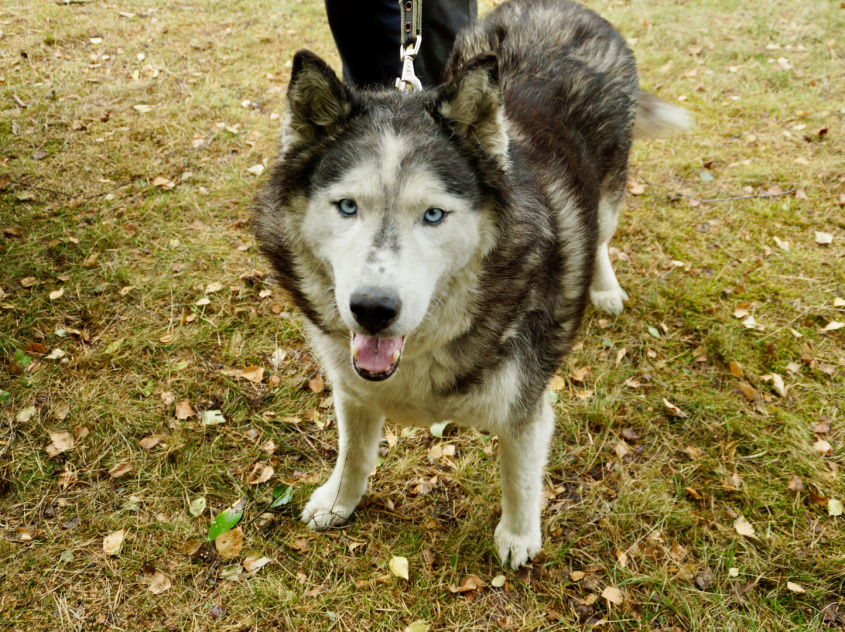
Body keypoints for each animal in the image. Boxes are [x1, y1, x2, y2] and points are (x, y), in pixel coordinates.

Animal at [254, 0, 688, 568]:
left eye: (433, 215)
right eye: (347, 207)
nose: (373, 309)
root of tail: (563, 6)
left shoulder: (525, 406)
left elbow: (518, 476)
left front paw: (519, 538)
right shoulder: (352, 389)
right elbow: (353, 454)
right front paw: (338, 503)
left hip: (610, 193)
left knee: (598, 235)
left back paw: (604, 288)